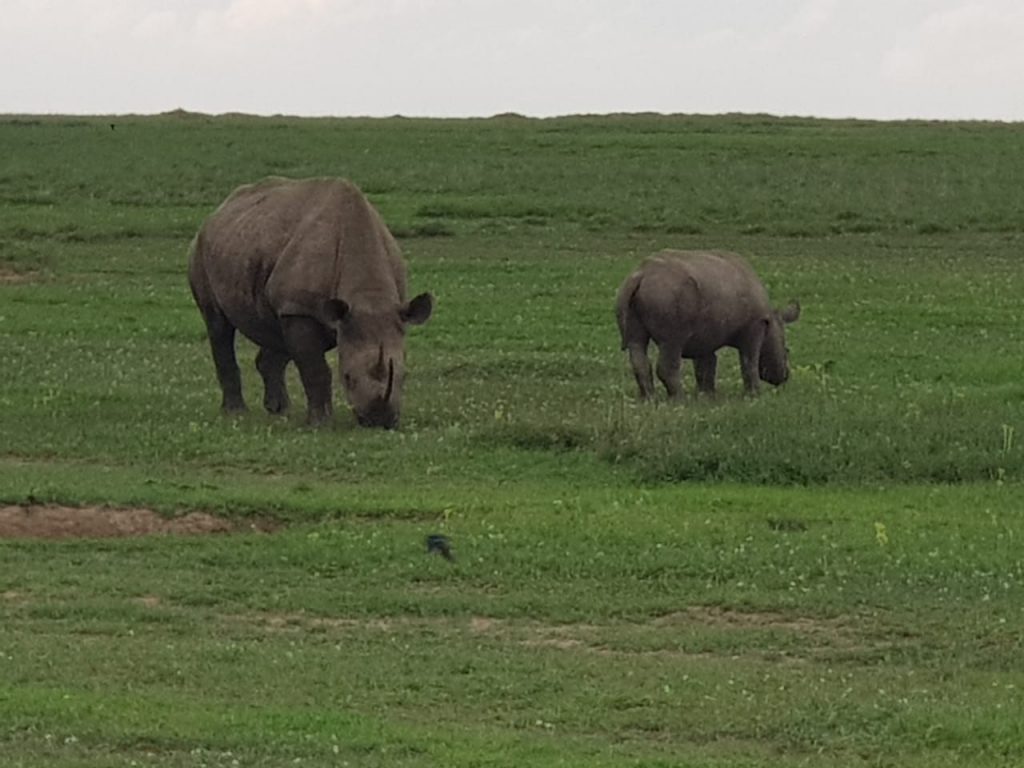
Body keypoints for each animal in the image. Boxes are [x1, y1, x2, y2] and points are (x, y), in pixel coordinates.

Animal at [188, 177, 432, 430]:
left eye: (405, 376)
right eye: (347, 378)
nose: (379, 421)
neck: (368, 296)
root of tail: (218, 210)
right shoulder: (300, 310)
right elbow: (315, 370)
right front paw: (320, 423)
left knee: (274, 329)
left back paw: (280, 410)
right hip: (201, 249)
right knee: (218, 325)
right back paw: (236, 413)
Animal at [614, 249, 798, 399]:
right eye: (787, 350)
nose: (785, 376)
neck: (771, 321)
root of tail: (641, 275)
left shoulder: (706, 334)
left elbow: (706, 365)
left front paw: (707, 396)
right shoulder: (754, 327)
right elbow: (749, 361)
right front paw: (755, 396)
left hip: (631, 293)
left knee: (636, 343)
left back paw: (649, 399)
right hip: (666, 296)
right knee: (671, 345)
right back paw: (680, 399)